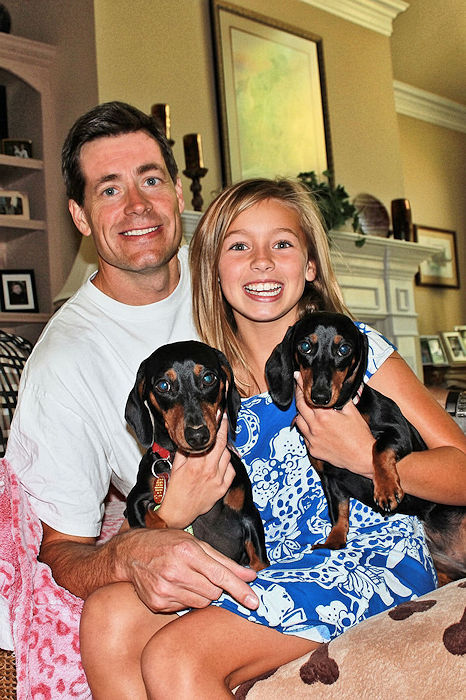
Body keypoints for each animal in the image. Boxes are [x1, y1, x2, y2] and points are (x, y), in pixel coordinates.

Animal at [125, 340, 268, 572]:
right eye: (163, 385)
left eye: (209, 378)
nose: (198, 436)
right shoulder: (136, 497)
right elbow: (148, 520)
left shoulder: (249, 513)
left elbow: (260, 562)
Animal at [265, 311, 466, 582]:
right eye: (305, 346)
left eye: (344, 349)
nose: (320, 397)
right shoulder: (330, 480)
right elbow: (339, 512)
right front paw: (334, 541)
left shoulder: (399, 433)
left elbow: (377, 448)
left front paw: (386, 489)